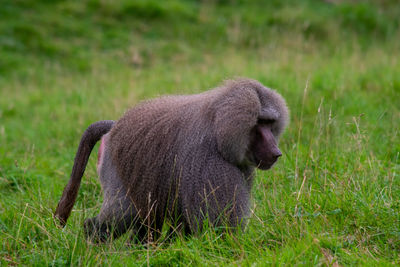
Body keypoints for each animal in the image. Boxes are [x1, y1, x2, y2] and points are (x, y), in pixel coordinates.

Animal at [54, 78, 290, 244]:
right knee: (123, 213)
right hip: (115, 167)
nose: (276, 152)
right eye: (260, 123)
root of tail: (114, 128)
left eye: (270, 123)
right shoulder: (208, 162)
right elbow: (217, 229)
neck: (219, 127)